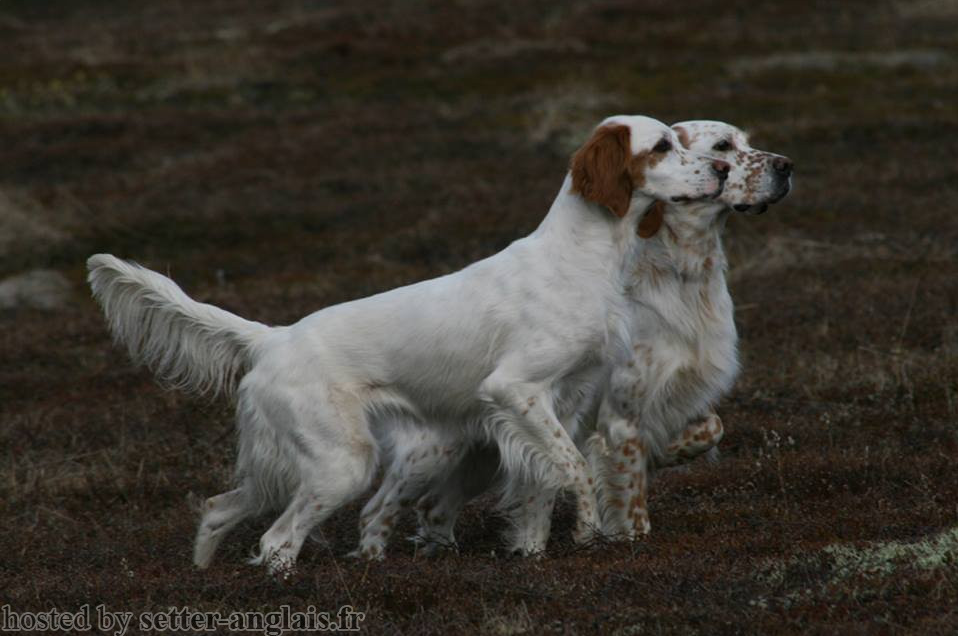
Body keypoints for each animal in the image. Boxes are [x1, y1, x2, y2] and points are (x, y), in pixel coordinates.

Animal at [88, 115, 728, 576]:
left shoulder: (562, 403)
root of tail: (274, 337)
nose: (723, 169)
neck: (582, 255)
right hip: (343, 463)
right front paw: (590, 534)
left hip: (318, 462)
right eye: (662, 146)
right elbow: (573, 471)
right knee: (276, 540)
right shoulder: (515, 389)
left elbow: (542, 484)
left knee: (221, 508)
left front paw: (533, 552)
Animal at [356, 119, 792, 556]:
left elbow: (710, 428)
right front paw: (627, 537)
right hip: (430, 452)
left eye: (745, 142)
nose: (787, 167)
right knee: (379, 509)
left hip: (480, 451)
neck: (679, 276)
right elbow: (628, 495)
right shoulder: (620, 417)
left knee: (434, 507)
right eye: (722, 146)